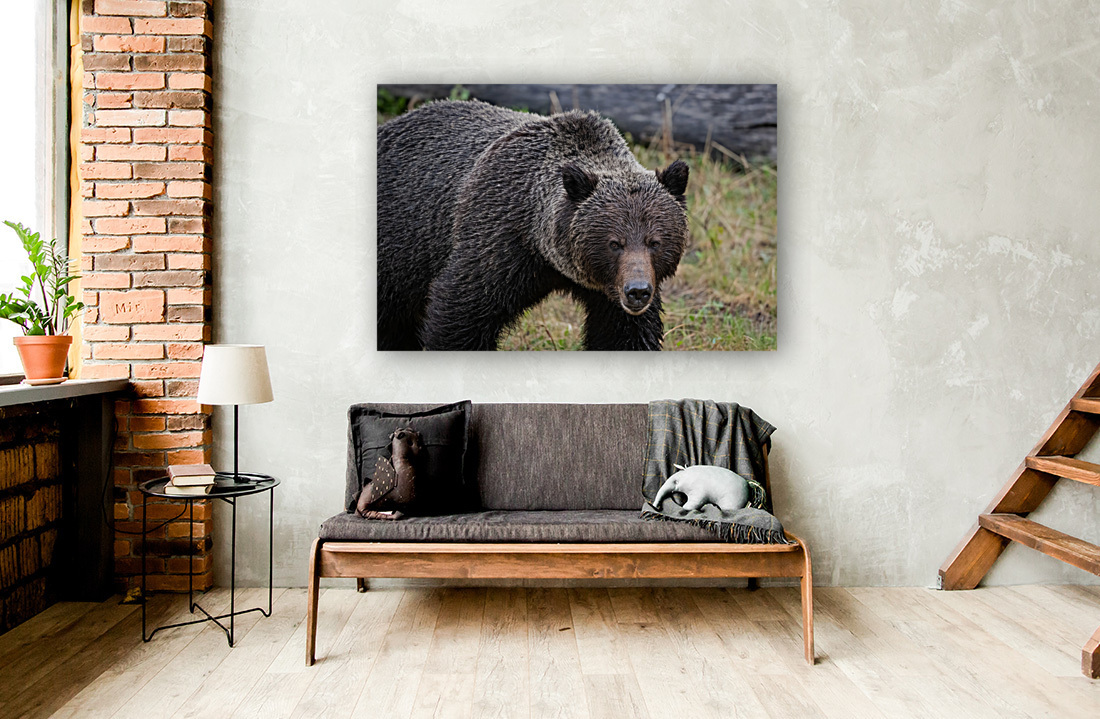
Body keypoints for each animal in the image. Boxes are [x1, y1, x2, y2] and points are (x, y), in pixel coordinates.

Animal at [376, 99, 689, 351]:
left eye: (654, 241)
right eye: (614, 243)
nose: (637, 291)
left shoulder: (611, 293)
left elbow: (626, 334)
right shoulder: (496, 242)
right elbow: (460, 313)